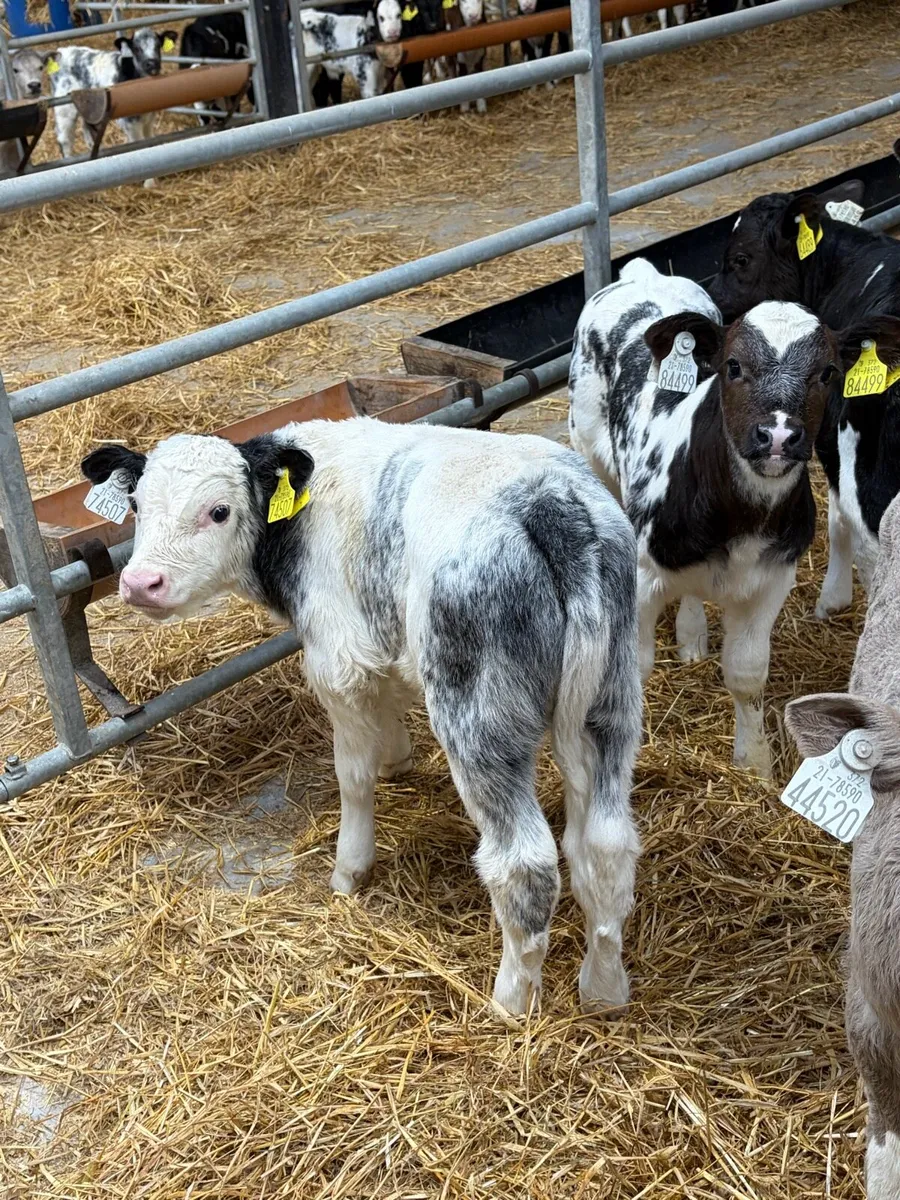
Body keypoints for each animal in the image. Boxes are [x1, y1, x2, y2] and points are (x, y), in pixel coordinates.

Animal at [80, 418, 643, 1017]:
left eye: (219, 511)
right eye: (136, 503)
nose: (142, 583)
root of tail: (551, 505)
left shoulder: (338, 664)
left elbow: (353, 777)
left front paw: (348, 869)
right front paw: (397, 757)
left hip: (479, 718)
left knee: (525, 864)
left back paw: (509, 1001)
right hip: (611, 705)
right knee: (605, 846)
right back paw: (604, 990)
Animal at [569, 258, 839, 778]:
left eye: (827, 373)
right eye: (734, 366)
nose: (778, 436)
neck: (742, 520)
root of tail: (645, 274)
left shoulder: (773, 577)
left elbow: (747, 672)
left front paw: (754, 760)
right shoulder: (642, 575)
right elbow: (635, 669)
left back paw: (691, 635)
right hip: (591, 450)